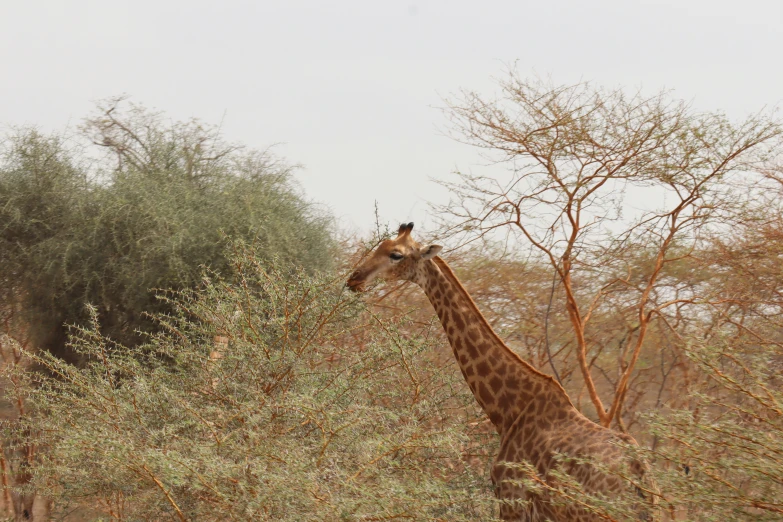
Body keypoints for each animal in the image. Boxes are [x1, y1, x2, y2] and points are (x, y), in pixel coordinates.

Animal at [348, 221, 656, 516]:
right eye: (380, 245)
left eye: (396, 254)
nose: (354, 278)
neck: (508, 411)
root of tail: (640, 472)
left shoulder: (512, 499)